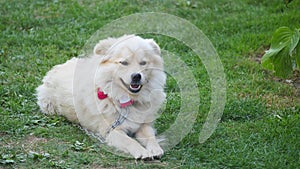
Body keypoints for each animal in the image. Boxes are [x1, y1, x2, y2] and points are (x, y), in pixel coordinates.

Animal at [36, 34, 168, 160]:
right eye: (124, 62)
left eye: (143, 63)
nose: (136, 76)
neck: (127, 100)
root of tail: (59, 65)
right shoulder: (111, 131)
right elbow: (130, 141)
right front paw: (142, 152)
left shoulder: (143, 124)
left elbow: (150, 136)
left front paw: (155, 148)